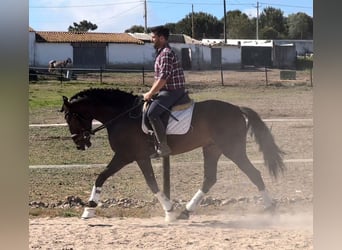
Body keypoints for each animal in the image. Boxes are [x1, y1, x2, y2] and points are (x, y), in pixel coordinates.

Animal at [61, 88, 286, 221]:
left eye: (70, 117)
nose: (80, 144)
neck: (121, 115)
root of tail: (238, 109)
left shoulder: (125, 156)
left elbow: (101, 177)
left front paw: (88, 210)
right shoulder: (140, 157)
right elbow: (152, 183)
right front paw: (170, 211)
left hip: (232, 149)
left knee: (254, 173)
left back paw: (270, 208)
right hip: (212, 149)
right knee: (209, 178)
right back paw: (186, 211)